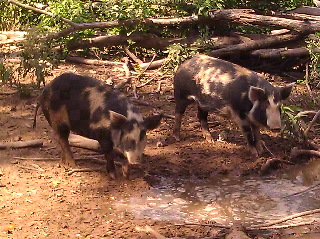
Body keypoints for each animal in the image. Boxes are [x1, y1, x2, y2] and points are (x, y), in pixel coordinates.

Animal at [33, 72, 162, 178]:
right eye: (127, 138)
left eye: (143, 138)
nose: (135, 163)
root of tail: (44, 91)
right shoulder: (101, 133)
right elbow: (109, 153)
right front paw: (113, 176)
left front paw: (126, 173)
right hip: (57, 119)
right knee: (62, 139)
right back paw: (73, 165)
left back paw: (63, 163)